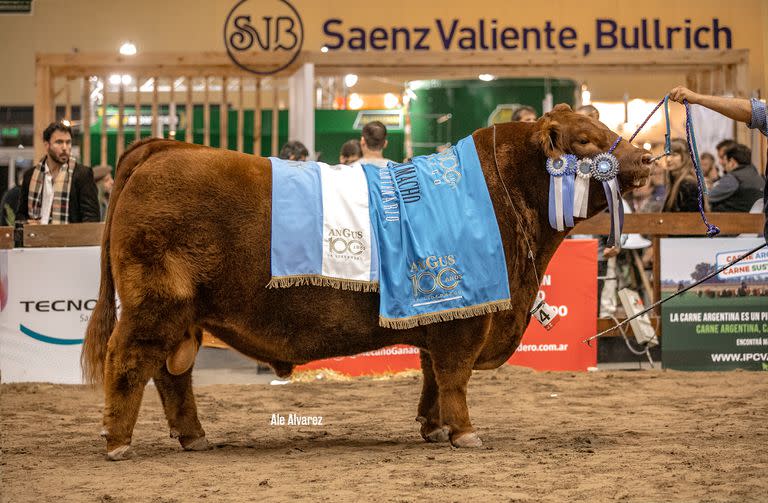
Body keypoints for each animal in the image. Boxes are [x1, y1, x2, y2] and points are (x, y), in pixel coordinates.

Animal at [82, 103, 648, 460]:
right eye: (584, 141)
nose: (645, 157)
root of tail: (166, 147)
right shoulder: (465, 321)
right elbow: (454, 376)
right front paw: (465, 433)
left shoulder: (439, 319)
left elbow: (431, 377)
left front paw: (433, 428)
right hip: (154, 305)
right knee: (128, 362)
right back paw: (117, 442)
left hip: (183, 316)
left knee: (172, 375)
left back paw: (194, 437)